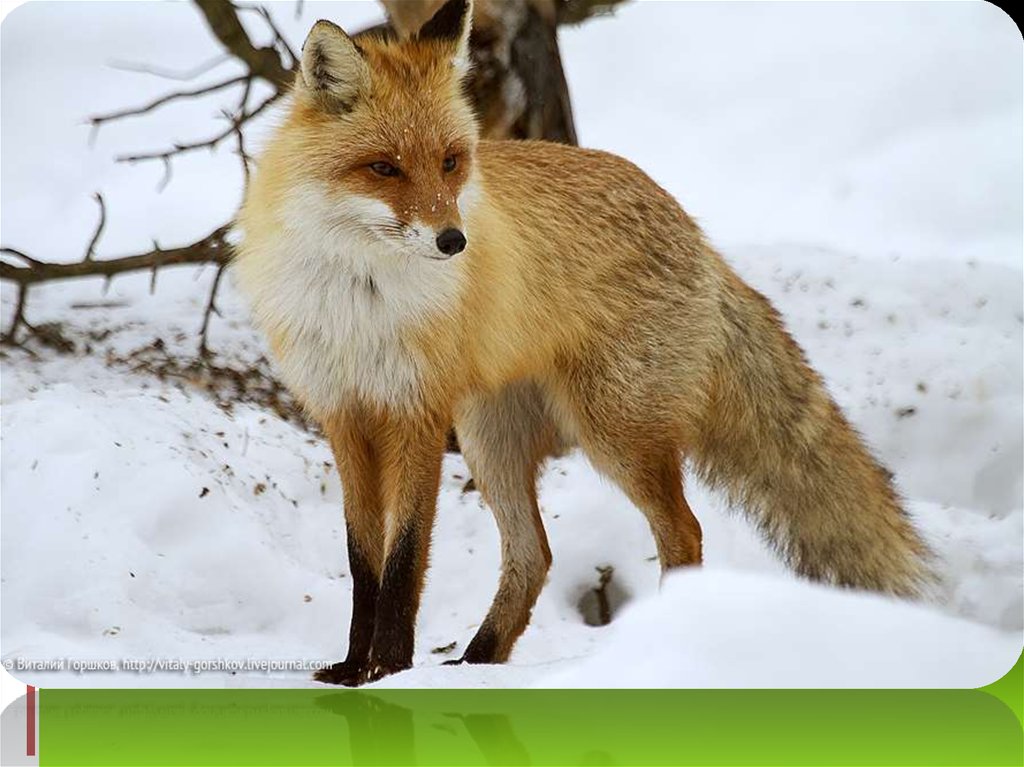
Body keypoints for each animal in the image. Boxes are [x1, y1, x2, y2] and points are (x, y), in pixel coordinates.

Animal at [237, 0, 937, 684]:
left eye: (450, 161)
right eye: (383, 168)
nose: (453, 241)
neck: (360, 300)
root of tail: (694, 228)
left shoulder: (415, 412)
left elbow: (405, 557)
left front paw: (389, 669)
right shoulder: (343, 413)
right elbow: (363, 559)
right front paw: (354, 668)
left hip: (613, 431)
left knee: (682, 531)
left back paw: (658, 641)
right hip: (491, 438)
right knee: (534, 555)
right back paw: (476, 662)